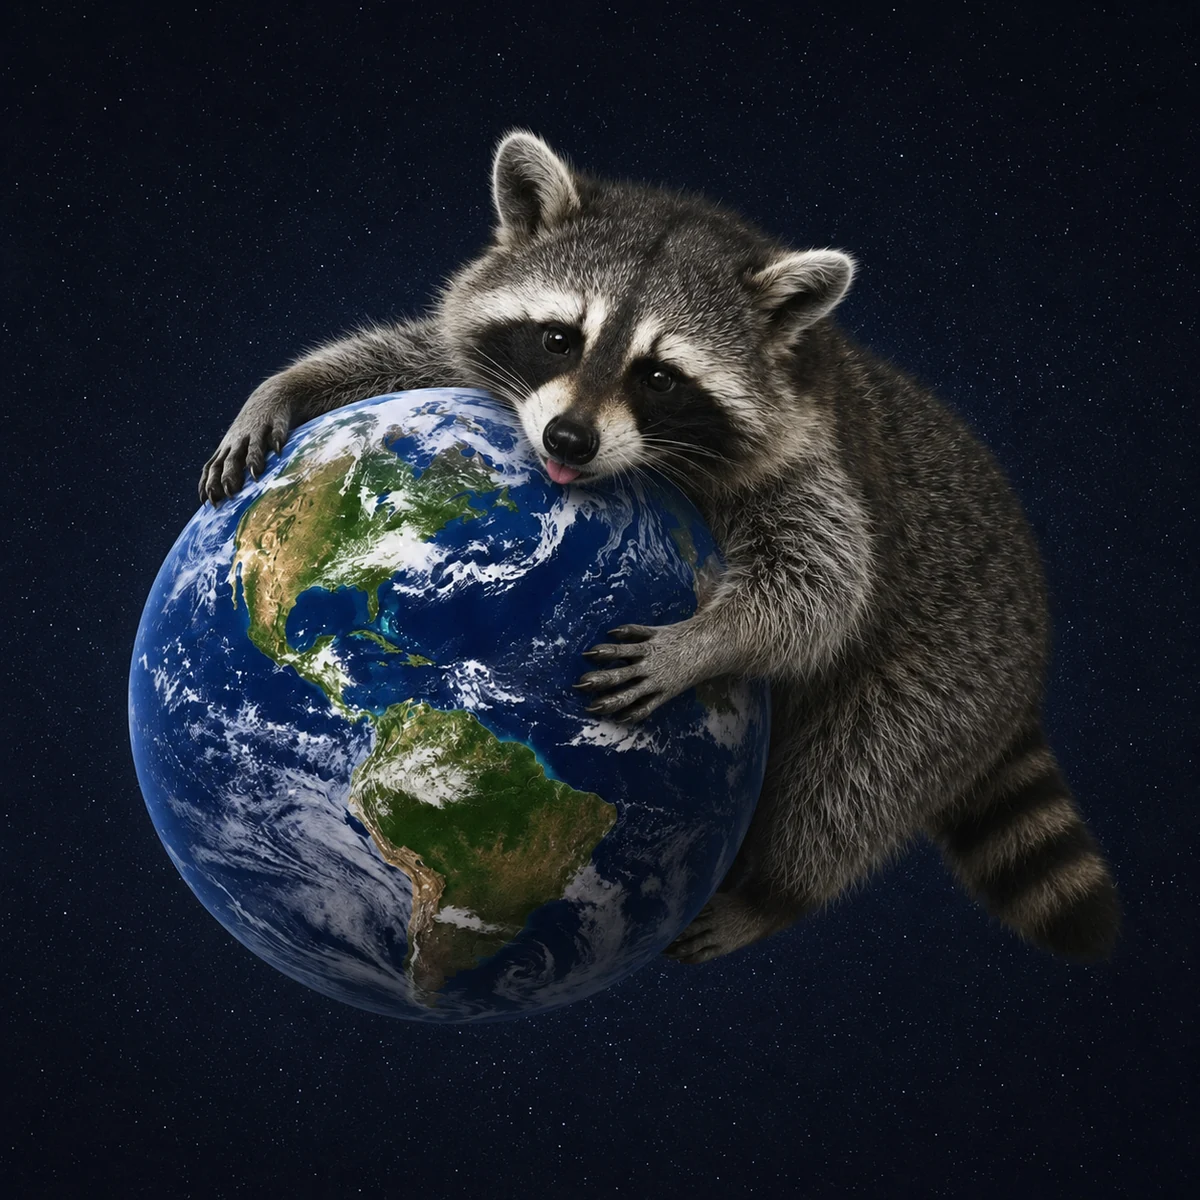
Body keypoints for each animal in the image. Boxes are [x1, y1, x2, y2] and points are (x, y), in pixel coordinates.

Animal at [199, 131, 1121, 964]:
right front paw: (291, 385)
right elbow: (411, 355)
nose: (567, 441)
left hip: (941, 671)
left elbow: (822, 581)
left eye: (659, 376)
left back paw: (772, 893)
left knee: (851, 781)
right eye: (560, 338)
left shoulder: (808, 461)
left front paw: (707, 639)